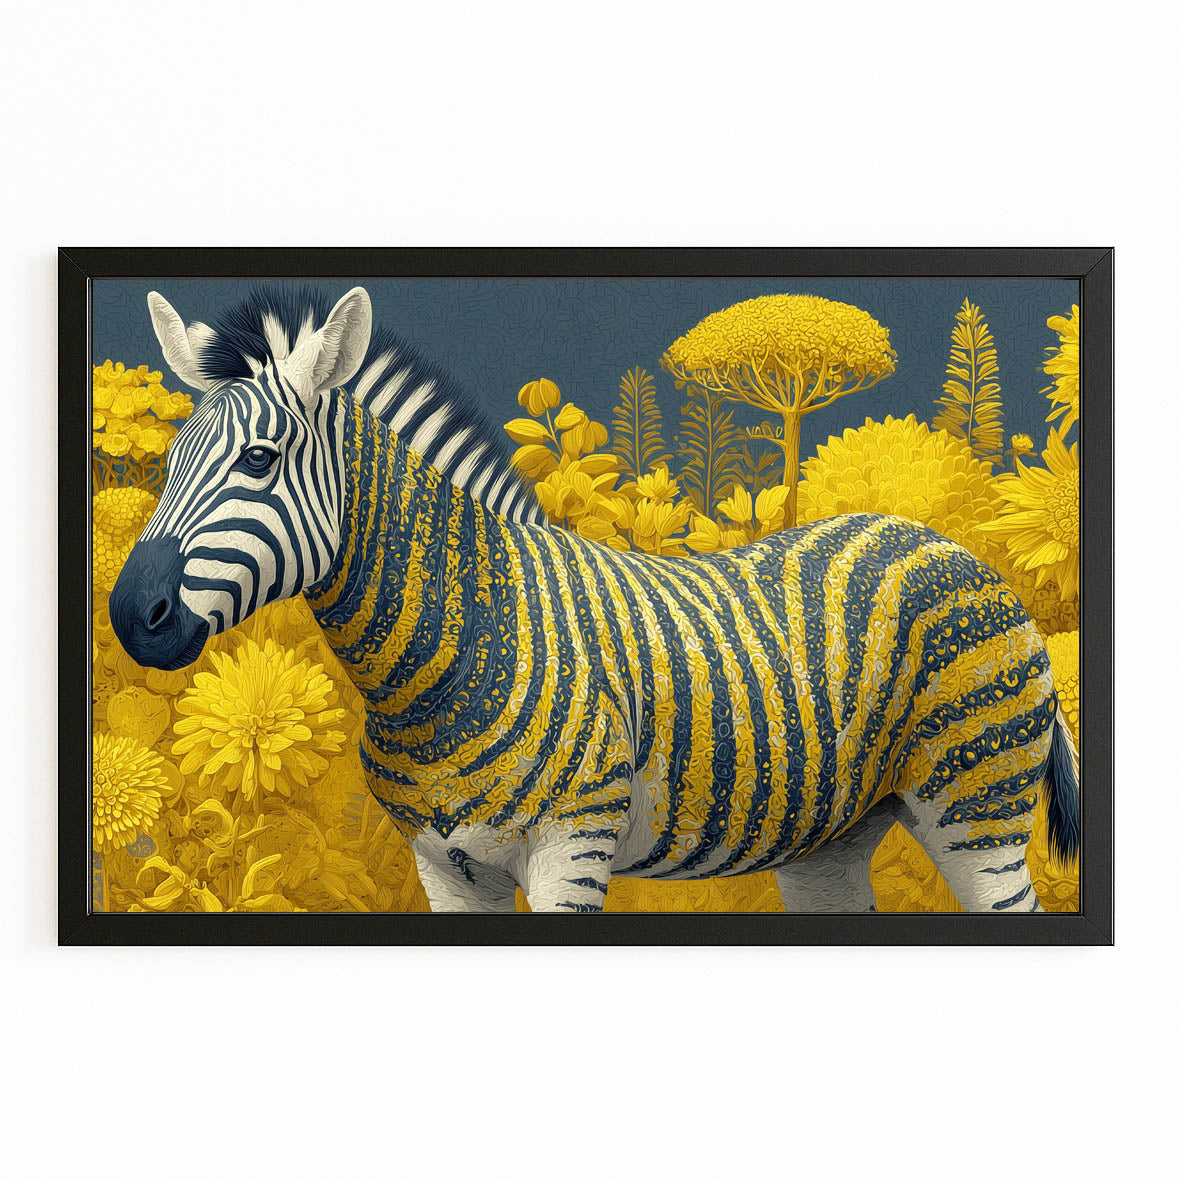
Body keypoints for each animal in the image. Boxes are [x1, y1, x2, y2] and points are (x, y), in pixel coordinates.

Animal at [109, 283, 1080, 914]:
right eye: (169, 461)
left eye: (258, 460)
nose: (128, 616)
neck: (455, 644)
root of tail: (947, 546)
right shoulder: (444, 867)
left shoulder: (570, 847)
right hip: (830, 838)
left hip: (977, 805)